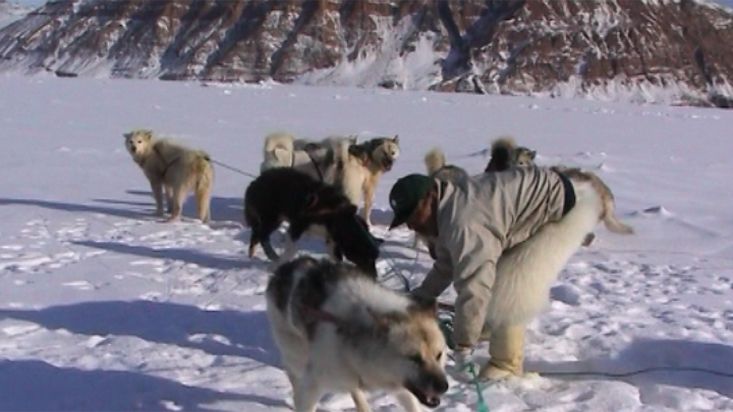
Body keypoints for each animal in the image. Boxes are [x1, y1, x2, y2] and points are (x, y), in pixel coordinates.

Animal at [264, 258, 446, 412]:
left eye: (438, 355)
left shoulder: (400, 386)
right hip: (297, 355)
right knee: (292, 372)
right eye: (414, 358)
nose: (444, 386)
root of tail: (283, 268)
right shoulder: (312, 385)